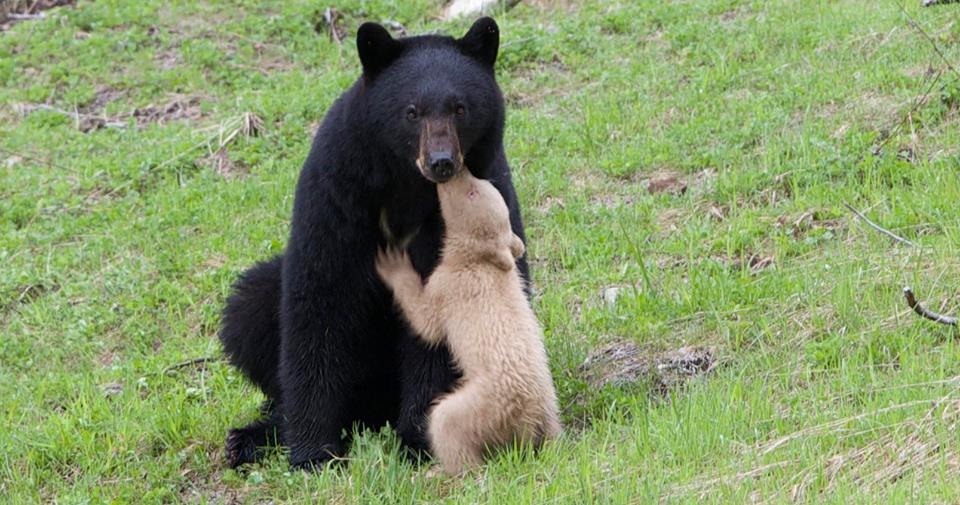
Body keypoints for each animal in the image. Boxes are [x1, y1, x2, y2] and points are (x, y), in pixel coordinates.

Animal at [218, 17, 530, 471]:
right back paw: (253, 435)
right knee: (250, 307)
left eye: (460, 107)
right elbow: (319, 302)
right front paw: (313, 452)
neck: (406, 185)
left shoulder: (462, 215)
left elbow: (436, 327)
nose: (441, 162)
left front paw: (416, 440)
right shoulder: (338, 195)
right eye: (411, 111)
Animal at [375, 170, 561, 476]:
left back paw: (444, 470)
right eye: (479, 183)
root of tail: (528, 418)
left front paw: (392, 261)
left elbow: (428, 322)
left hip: (486, 403)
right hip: (548, 405)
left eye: (472, 191)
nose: (457, 171)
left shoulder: (451, 283)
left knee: (446, 421)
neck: (481, 260)